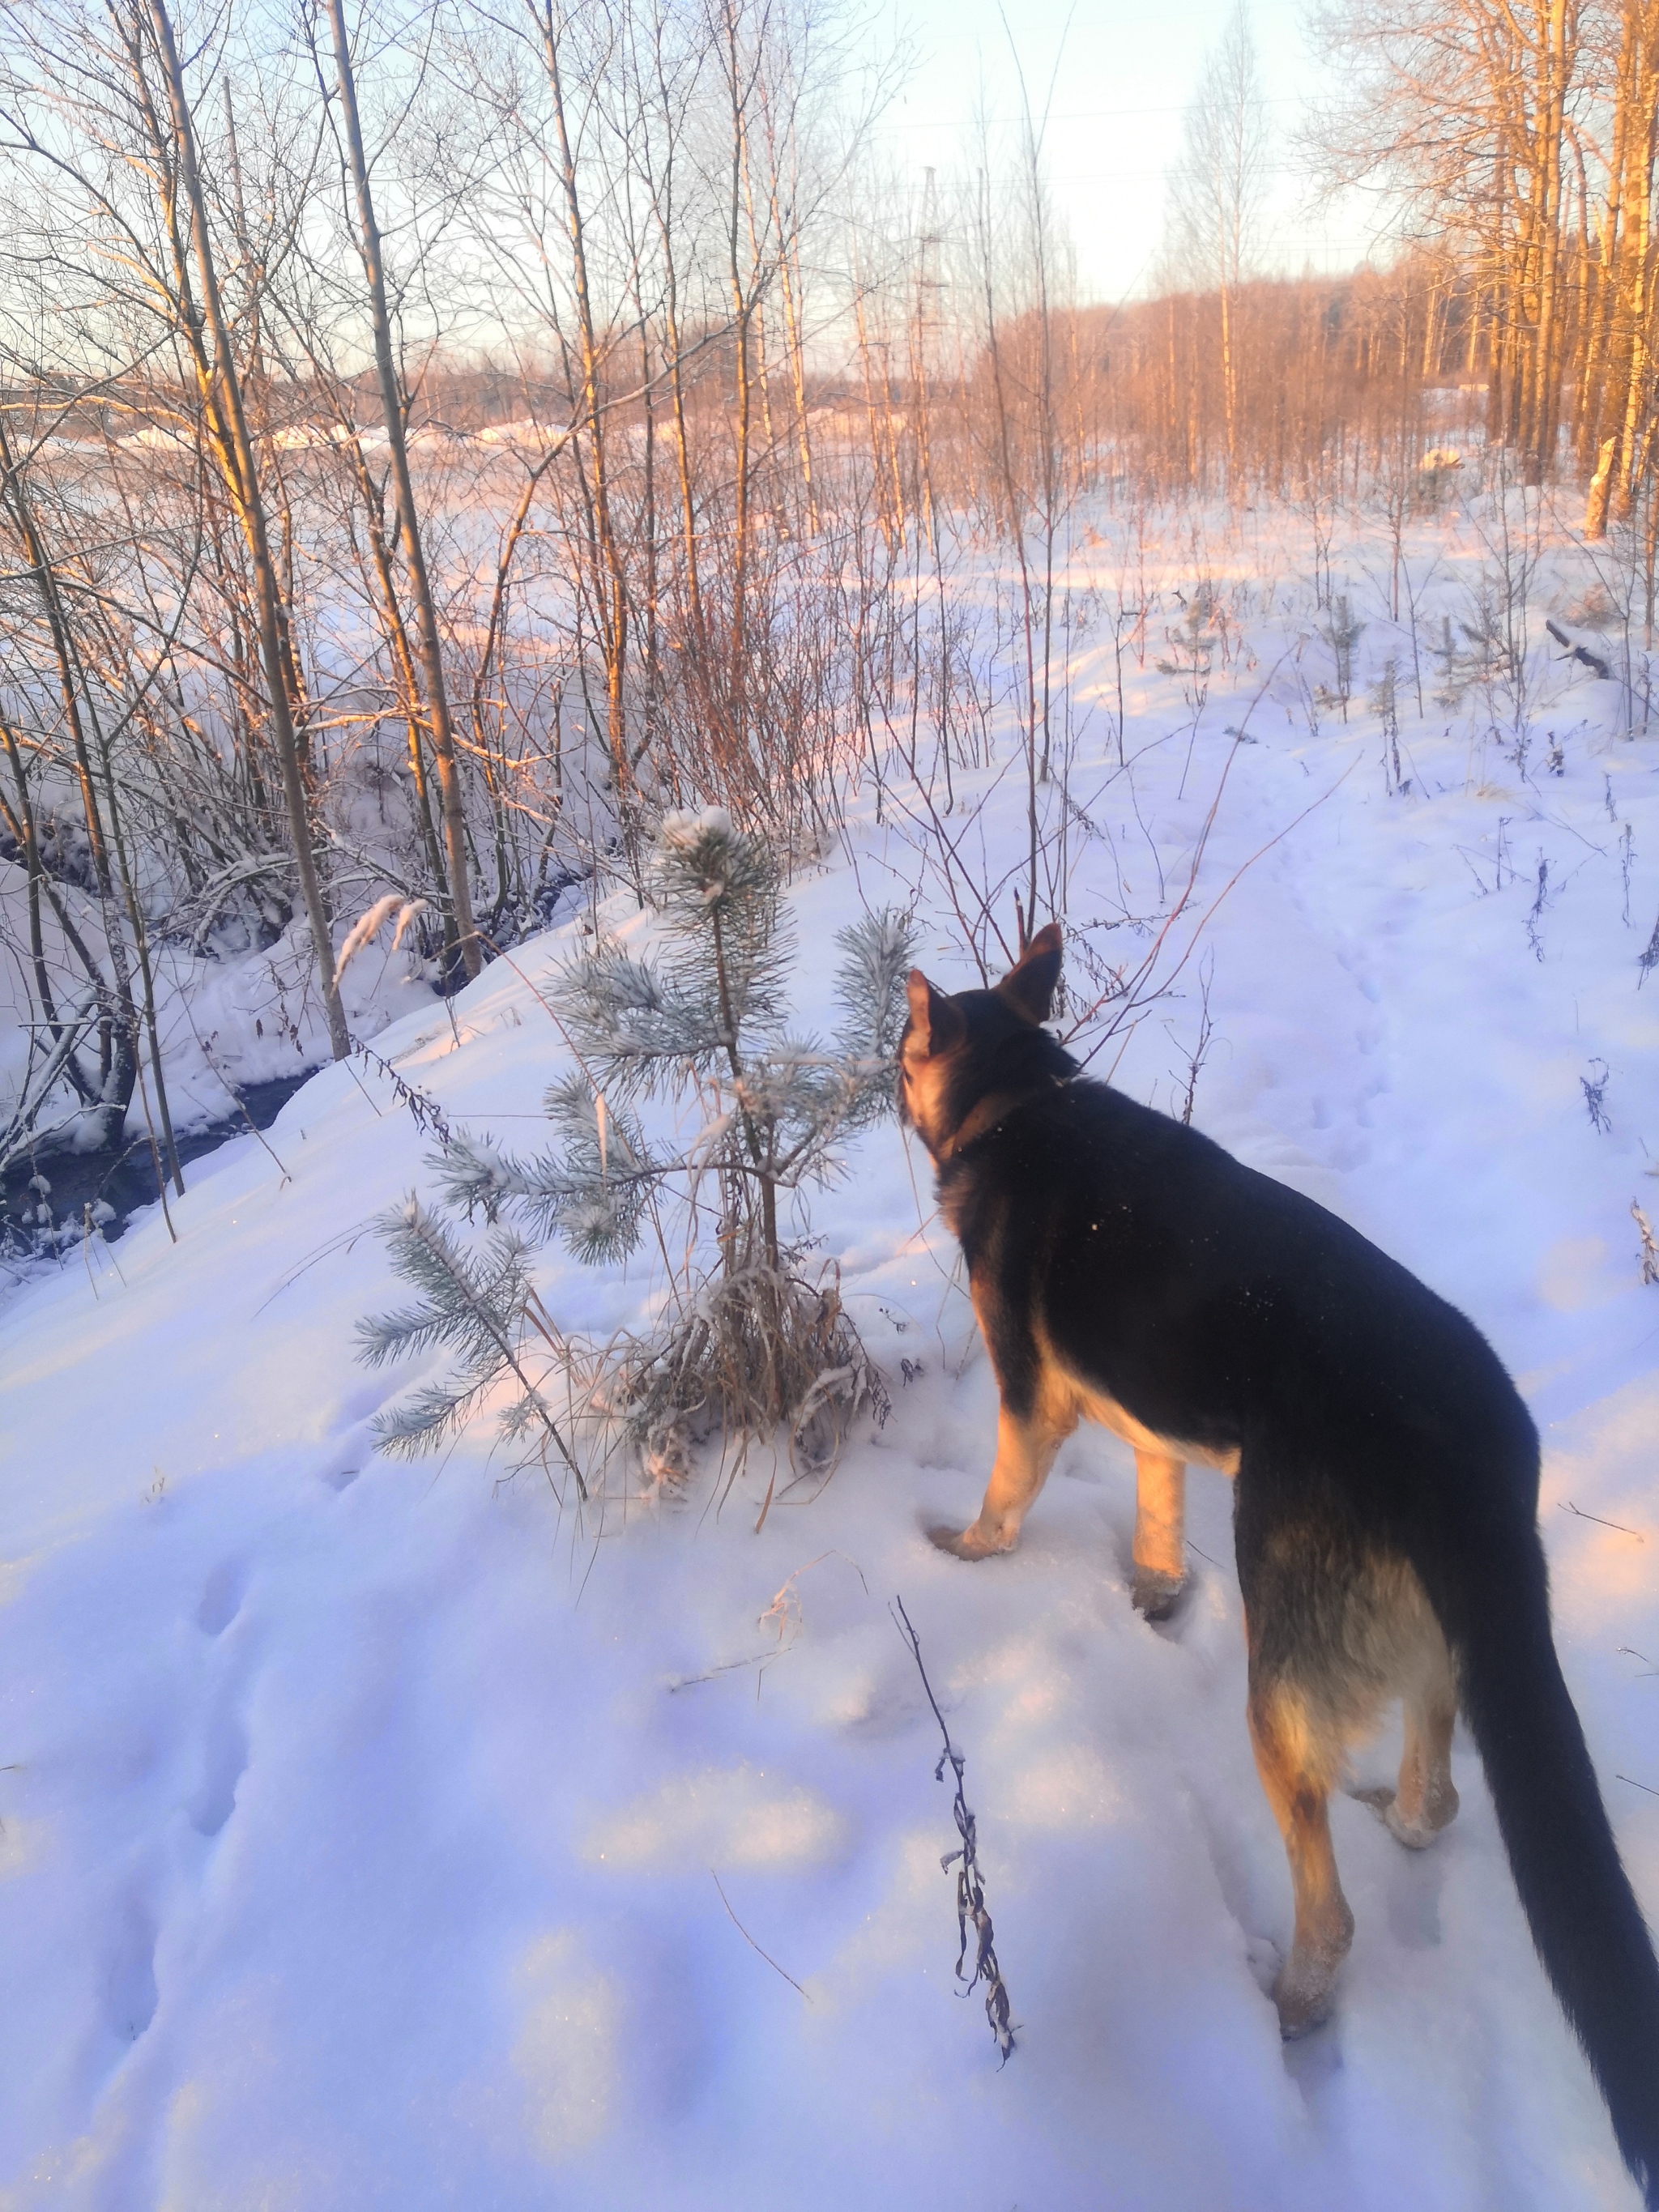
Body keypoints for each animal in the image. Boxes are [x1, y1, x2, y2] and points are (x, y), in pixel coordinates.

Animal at [902, 924, 1659, 2203]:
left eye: (902, 1044)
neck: (1018, 1096)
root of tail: (1464, 1455)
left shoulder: (1030, 1399)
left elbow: (1003, 1499)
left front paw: (960, 1556)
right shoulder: (1151, 1430)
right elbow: (1157, 1519)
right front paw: (1153, 1596)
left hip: (1280, 1679)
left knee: (1333, 1903)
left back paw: (1294, 1999)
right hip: (1425, 1643)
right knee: (1440, 1792)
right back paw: (1395, 1812)